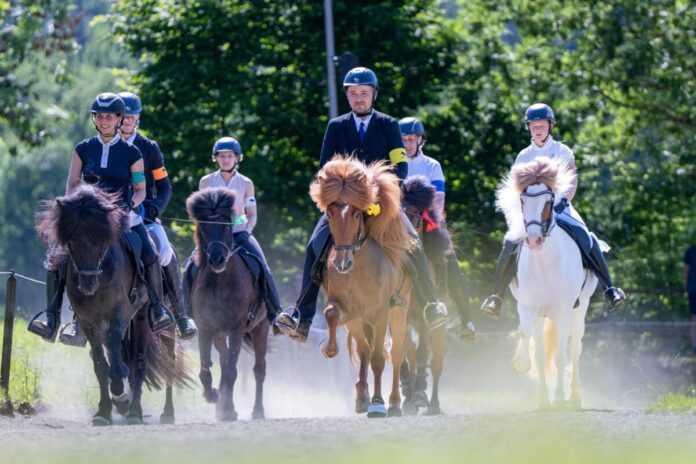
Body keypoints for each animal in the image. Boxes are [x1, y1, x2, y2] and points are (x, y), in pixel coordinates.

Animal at [35, 184, 187, 425]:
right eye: (71, 242)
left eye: (101, 240)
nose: (88, 285)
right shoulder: (88, 319)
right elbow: (100, 364)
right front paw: (104, 411)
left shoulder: (119, 313)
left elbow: (124, 362)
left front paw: (122, 398)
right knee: (124, 356)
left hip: (157, 320)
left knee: (159, 360)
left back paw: (157, 412)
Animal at [186, 187, 268, 421]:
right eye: (204, 229)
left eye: (226, 226)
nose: (217, 259)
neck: (220, 281)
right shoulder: (206, 329)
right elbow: (205, 370)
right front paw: (214, 397)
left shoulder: (237, 329)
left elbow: (232, 371)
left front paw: (228, 408)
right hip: (219, 335)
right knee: (222, 362)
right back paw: (222, 405)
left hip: (260, 328)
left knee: (259, 369)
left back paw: (257, 411)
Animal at [312, 155, 416, 418]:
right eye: (330, 214)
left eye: (357, 215)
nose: (341, 263)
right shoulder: (350, 314)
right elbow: (332, 316)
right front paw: (328, 349)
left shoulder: (380, 314)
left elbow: (379, 358)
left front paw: (378, 403)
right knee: (366, 350)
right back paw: (362, 397)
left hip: (400, 310)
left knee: (397, 353)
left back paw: (394, 403)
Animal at [496, 156, 598, 409]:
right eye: (522, 200)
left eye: (549, 201)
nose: (533, 240)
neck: (544, 262)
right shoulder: (528, 307)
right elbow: (533, 345)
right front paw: (526, 372)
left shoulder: (564, 311)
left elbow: (561, 355)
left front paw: (559, 398)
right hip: (544, 315)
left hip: (580, 309)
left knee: (575, 348)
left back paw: (574, 398)